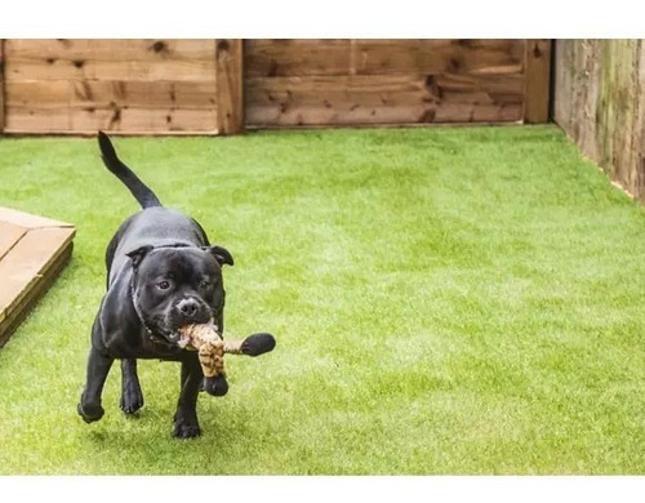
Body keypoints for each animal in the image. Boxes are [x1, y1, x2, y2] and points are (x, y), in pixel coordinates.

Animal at [75, 132, 247, 440]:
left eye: (206, 283)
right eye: (164, 284)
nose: (189, 306)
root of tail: (156, 207)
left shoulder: (196, 353)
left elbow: (187, 390)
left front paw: (186, 423)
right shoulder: (100, 344)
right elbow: (94, 389)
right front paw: (86, 409)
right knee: (127, 362)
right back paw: (130, 394)